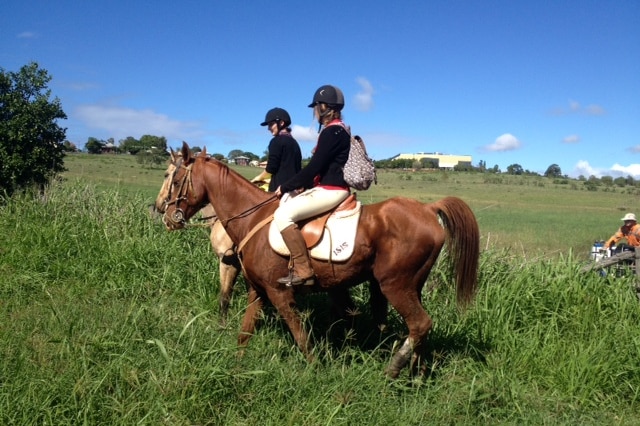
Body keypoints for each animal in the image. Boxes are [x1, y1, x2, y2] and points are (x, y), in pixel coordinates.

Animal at [161, 142, 480, 376]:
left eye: (173, 179)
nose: (164, 215)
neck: (252, 215)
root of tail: (428, 209)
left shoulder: (279, 293)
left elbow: (300, 336)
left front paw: (315, 370)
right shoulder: (258, 290)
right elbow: (245, 331)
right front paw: (236, 366)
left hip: (395, 285)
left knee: (420, 324)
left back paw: (393, 370)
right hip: (412, 286)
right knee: (420, 330)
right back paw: (418, 374)